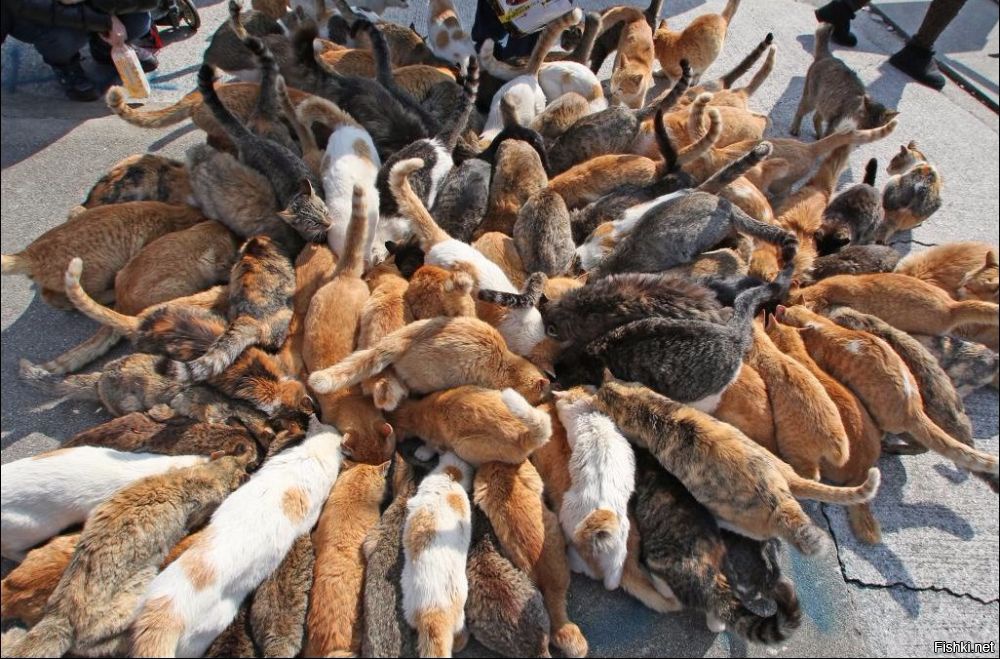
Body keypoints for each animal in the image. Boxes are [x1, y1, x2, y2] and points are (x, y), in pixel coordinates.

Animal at [390, 386, 551, 465]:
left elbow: (431, 446)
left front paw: (423, 452)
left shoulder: (438, 441)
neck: (418, 411)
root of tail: (524, 434)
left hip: (464, 446)